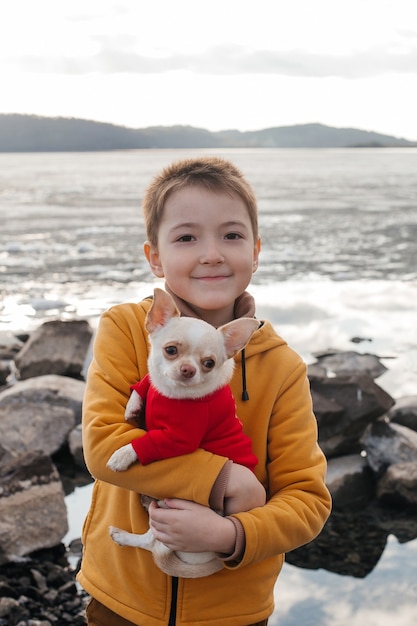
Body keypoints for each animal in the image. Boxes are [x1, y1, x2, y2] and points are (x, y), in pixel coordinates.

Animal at [105, 288, 258, 576]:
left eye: (209, 363)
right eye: (171, 350)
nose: (188, 369)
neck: (171, 394)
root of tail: (215, 560)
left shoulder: (179, 437)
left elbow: (148, 442)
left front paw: (122, 455)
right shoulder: (152, 384)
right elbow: (143, 385)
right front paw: (133, 406)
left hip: (171, 521)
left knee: (150, 543)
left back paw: (123, 536)